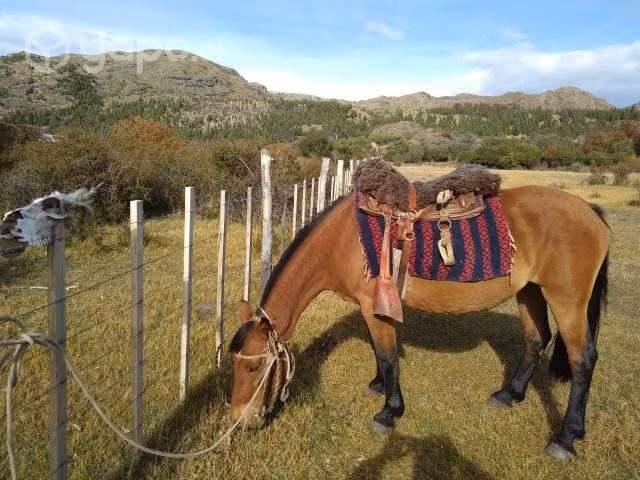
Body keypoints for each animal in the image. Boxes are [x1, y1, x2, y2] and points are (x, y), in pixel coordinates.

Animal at [228, 182, 609, 461]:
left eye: (253, 368)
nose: (239, 420)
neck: (344, 239)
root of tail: (589, 210)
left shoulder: (374, 305)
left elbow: (387, 356)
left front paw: (389, 412)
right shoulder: (374, 308)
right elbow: (379, 350)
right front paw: (378, 385)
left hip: (567, 300)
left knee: (583, 359)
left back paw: (565, 438)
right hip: (530, 292)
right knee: (536, 339)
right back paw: (509, 395)